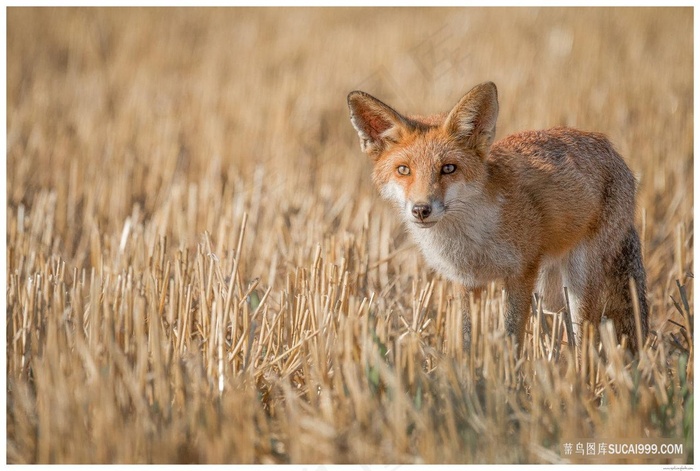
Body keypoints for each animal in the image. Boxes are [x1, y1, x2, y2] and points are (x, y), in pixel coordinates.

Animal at [348, 82, 648, 354]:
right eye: (403, 170)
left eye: (448, 168)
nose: (421, 209)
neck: (473, 240)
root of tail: (608, 145)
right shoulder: (466, 282)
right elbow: (467, 339)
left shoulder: (521, 273)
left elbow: (511, 336)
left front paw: (512, 376)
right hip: (551, 290)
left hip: (578, 280)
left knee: (585, 334)